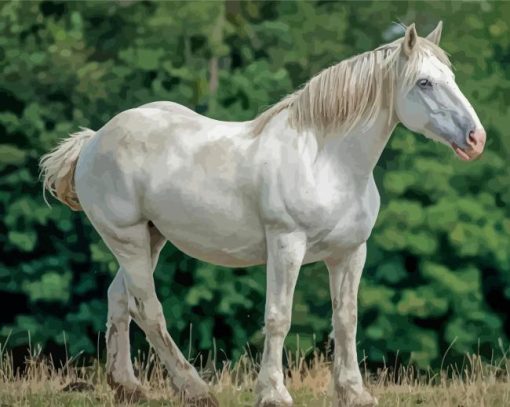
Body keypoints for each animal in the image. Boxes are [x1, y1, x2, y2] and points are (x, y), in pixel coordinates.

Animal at [40, 23, 486, 407]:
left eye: (451, 77)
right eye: (424, 82)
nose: (476, 138)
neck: (327, 161)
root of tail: (94, 139)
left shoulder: (349, 253)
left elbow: (346, 319)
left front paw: (355, 392)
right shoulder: (286, 246)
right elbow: (278, 317)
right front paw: (273, 392)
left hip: (150, 239)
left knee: (121, 300)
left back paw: (128, 387)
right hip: (128, 238)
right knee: (148, 309)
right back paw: (194, 389)